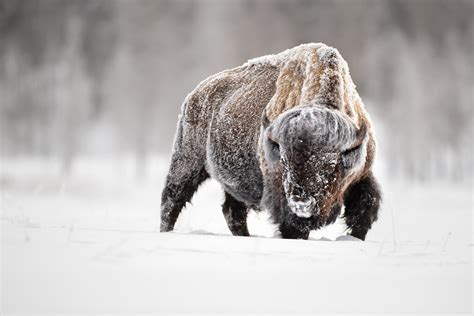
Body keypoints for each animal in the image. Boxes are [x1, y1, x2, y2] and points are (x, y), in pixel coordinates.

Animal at [160, 42, 382, 239]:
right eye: (284, 161)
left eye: (331, 165)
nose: (301, 204)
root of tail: (194, 95)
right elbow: (293, 227)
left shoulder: (363, 175)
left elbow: (365, 210)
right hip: (188, 163)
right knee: (172, 199)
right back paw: (165, 232)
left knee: (232, 211)